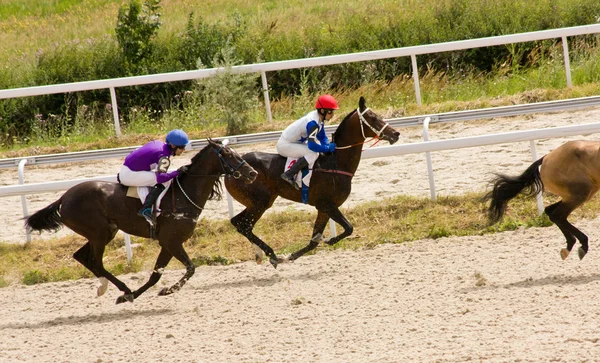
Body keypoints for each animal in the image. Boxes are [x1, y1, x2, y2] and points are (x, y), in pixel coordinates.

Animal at [25, 139, 256, 304]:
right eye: (227, 154)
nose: (252, 173)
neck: (183, 195)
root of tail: (63, 198)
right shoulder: (171, 241)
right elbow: (190, 268)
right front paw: (167, 290)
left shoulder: (169, 243)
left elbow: (157, 275)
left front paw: (141, 294)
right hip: (98, 232)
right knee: (95, 261)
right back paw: (122, 288)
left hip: (105, 232)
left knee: (82, 257)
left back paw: (108, 288)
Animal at [224, 96, 398, 268]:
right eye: (373, 118)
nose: (396, 134)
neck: (335, 163)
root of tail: (230, 171)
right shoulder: (326, 204)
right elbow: (349, 228)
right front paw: (328, 240)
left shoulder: (324, 208)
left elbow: (314, 241)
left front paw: (294, 254)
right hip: (260, 201)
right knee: (243, 225)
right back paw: (271, 255)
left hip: (257, 202)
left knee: (240, 223)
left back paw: (264, 254)